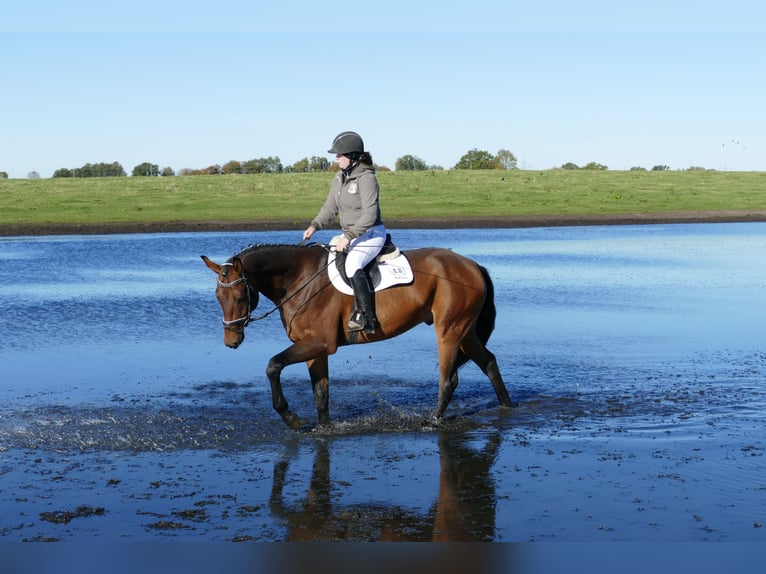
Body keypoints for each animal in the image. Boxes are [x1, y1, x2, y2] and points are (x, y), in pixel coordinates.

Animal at [201, 242, 513, 430]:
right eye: (218, 297)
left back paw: (433, 421)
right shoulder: (315, 348)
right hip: (465, 332)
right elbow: (321, 392)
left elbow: (273, 365)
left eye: (240, 297)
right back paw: (508, 406)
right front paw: (323, 428)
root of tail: (472, 265)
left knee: (448, 380)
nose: (231, 341)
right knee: (489, 362)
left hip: (449, 330)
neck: (299, 279)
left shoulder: (319, 344)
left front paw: (290, 417)